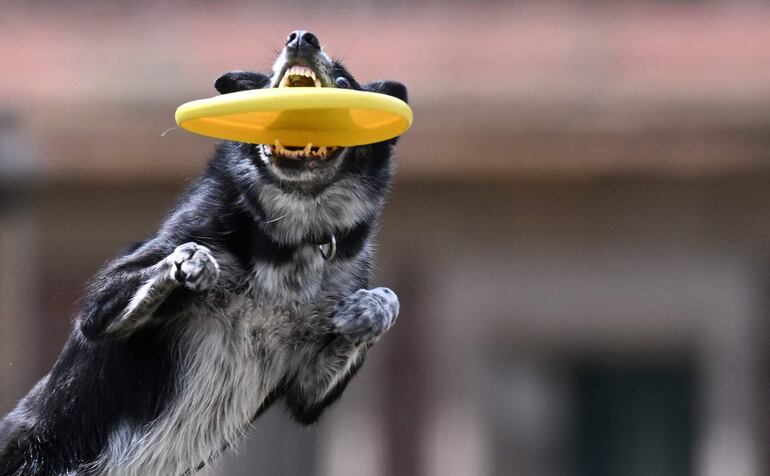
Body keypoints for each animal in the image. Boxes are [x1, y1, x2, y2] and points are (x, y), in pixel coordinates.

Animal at [0, 31, 408, 474]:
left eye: (345, 80)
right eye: (269, 81)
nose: (302, 37)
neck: (291, 235)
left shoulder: (308, 389)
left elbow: (387, 300)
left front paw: (372, 311)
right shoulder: (100, 311)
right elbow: (169, 260)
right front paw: (190, 262)